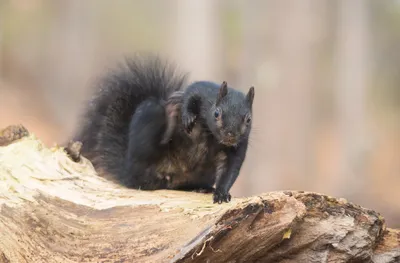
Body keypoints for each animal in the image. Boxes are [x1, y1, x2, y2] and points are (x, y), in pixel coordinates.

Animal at [65, 55, 253, 204]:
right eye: (216, 113)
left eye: (249, 119)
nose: (230, 135)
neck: (211, 135)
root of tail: (126, 171)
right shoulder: (202, 91)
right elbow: (190, 95)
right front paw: (187, 115)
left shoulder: (238, 147)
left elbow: (230, 170)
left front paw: (221, 194)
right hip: (149, 122)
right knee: (141, 177)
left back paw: (200, 188)